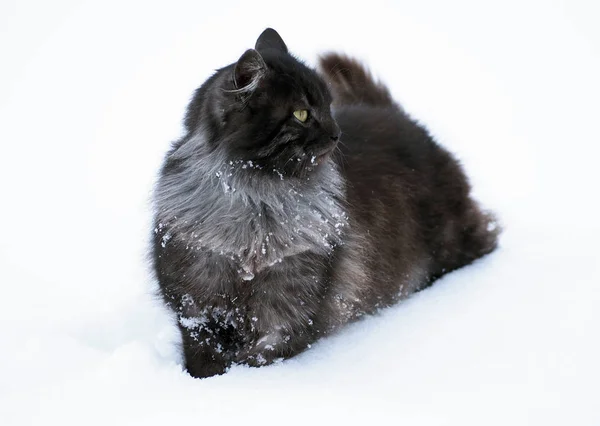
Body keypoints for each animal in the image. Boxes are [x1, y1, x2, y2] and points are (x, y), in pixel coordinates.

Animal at [152, 27, 500, 380]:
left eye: (329, 107)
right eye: (302, 113)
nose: (336, 133)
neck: (256, 203)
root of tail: (397, 115)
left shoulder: (289, 307)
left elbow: (259, 357)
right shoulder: (198, 303)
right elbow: (202, 356)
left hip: (450, 242)